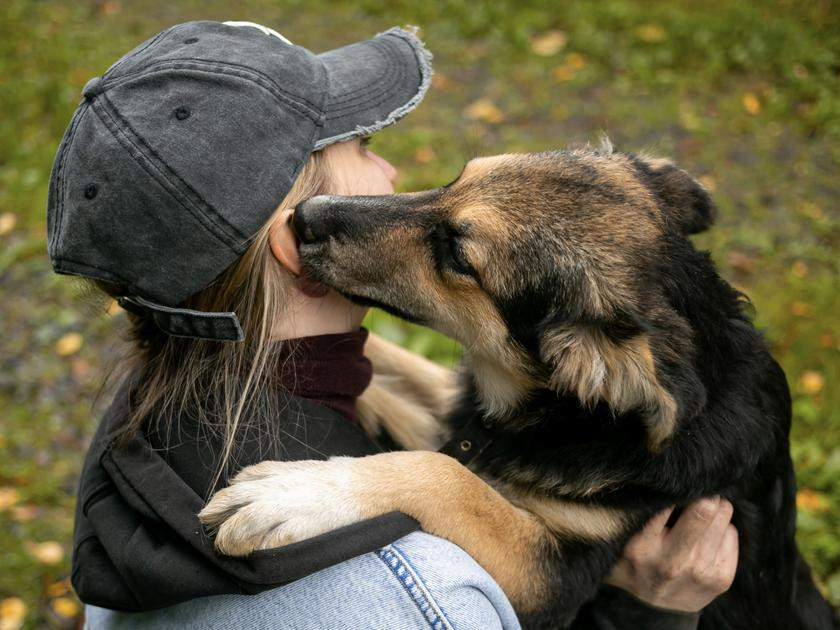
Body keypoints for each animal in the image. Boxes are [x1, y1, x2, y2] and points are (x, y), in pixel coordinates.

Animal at [200, 146, 836, 628]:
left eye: (457, 254)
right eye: (456, 176)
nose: (302, 214)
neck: (572, 415)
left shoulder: (556, 578)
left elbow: (447, 478)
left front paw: (295, 495)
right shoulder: (461, 408)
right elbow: (379, 361)